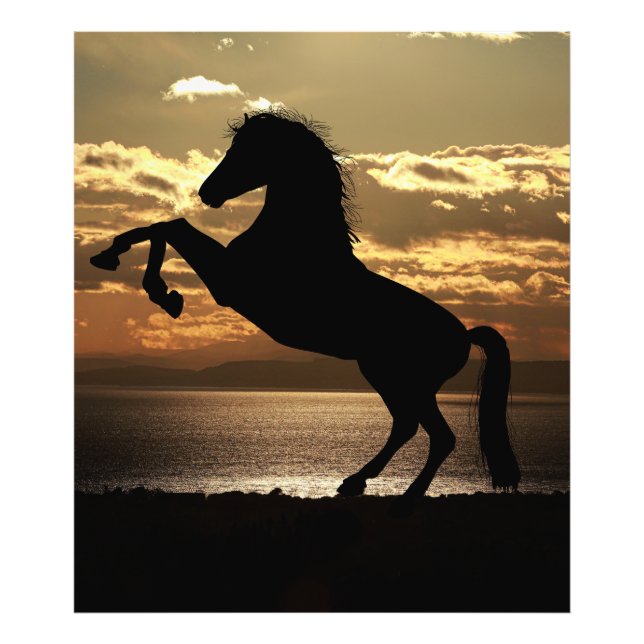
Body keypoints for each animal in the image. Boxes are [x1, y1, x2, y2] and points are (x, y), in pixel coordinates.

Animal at [90, 109, 520, 512]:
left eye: (245, 149)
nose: (206, 192)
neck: (296, 238)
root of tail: (463, 335)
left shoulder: (229, 283)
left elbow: (171, 226)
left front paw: (160, 291)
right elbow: (163, 226)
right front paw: (115, 259)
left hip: (403, 380)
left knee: (437, 436)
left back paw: (403, 498)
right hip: (388, 376)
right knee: (406, 426)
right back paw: (354, 483)